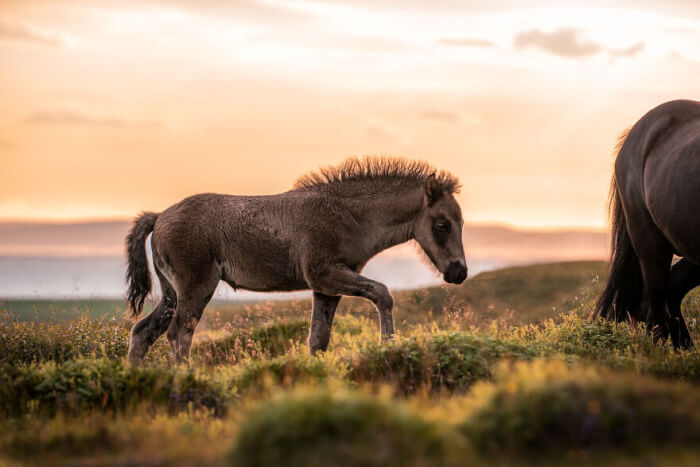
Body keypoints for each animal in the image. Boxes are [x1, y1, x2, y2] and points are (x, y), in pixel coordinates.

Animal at [126, 157, 468, 366]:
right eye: (442, 224)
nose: (459, 271)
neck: (349, 215)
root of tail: (160, 217)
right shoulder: (326, 274)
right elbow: (383, 294)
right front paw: (388, 346)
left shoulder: (327, 288)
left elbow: (318, 340)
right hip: (197, 287)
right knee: (178, 333)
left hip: (172, 293)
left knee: (143, 332)